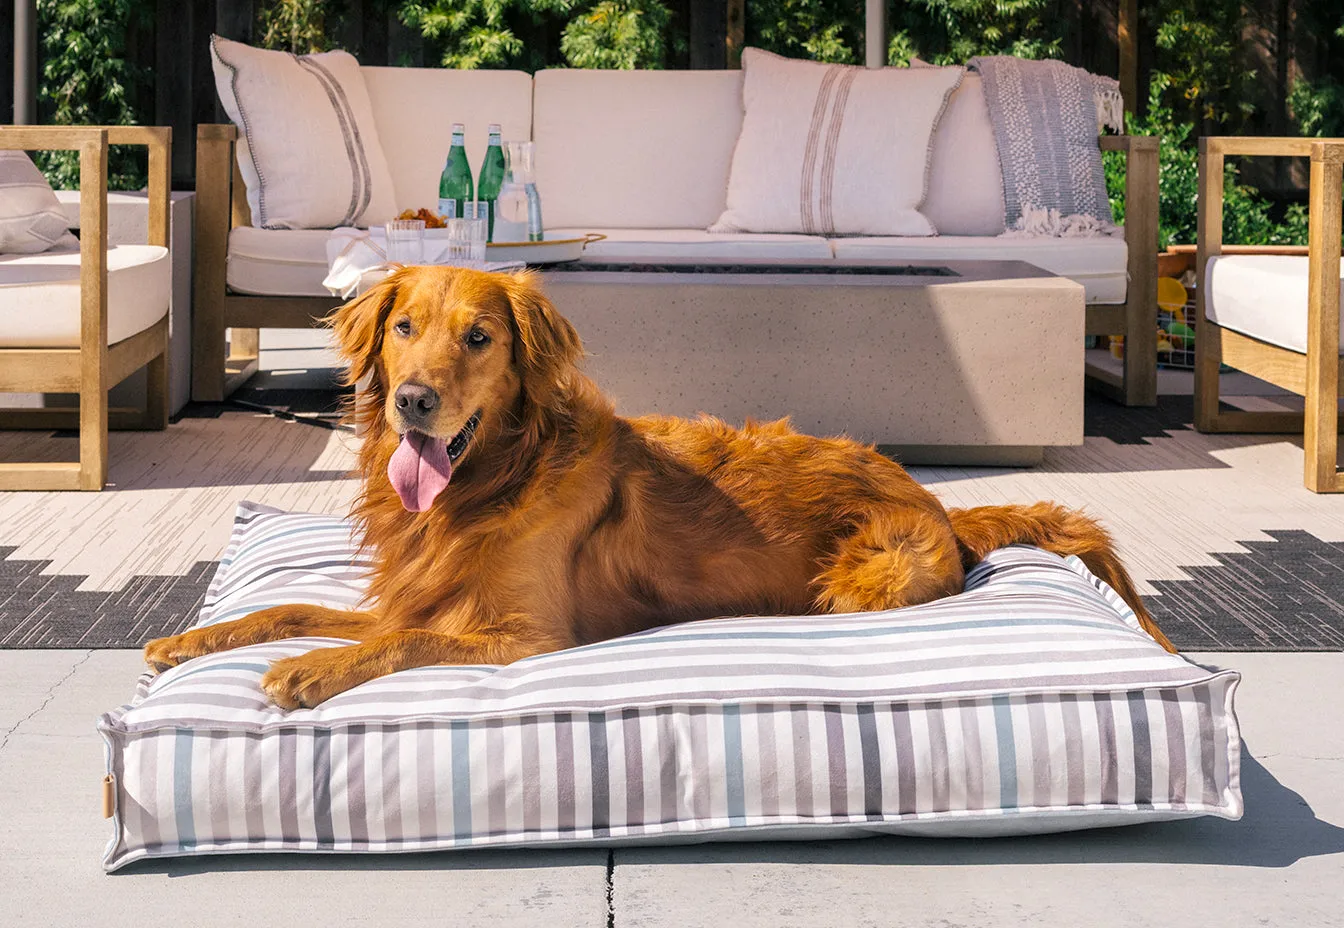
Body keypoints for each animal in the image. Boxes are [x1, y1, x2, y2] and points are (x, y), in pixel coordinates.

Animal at [147, 263, 1171, 704]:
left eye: (479, 337)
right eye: (403, 327)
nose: (413, 402)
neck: (492, 480)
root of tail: (940, 505)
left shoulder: (522, 638)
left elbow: (396, 647)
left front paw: (309, 671)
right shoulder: (413, 597)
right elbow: (289, 607)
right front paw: (194, 639)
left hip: (858, 587)